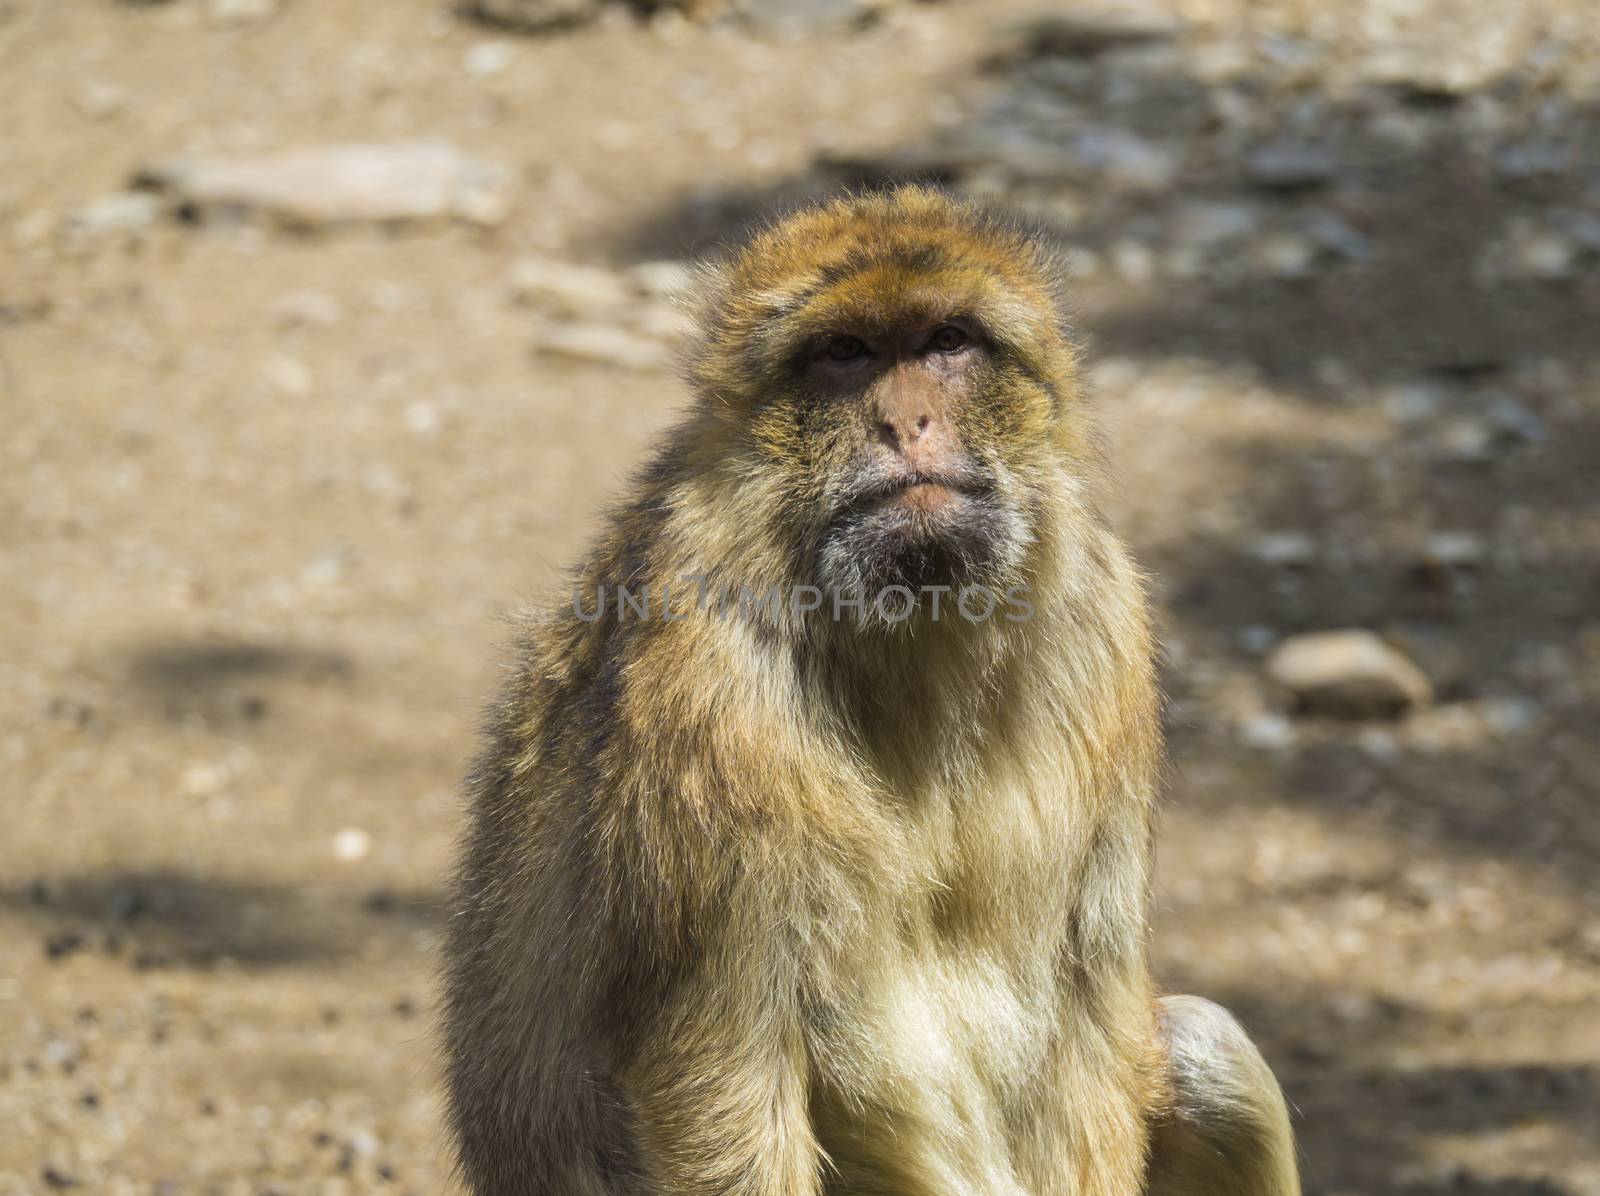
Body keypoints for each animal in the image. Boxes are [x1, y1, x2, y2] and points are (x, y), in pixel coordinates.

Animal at [441, 187, 1299, 1196]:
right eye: (846, 353)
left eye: (946, 342)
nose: (907, 426)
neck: (911, 646)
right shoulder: (708, 688)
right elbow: (722, 1082)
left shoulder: (1106, 625)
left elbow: (1092, 1023)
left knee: (1205, 1054)